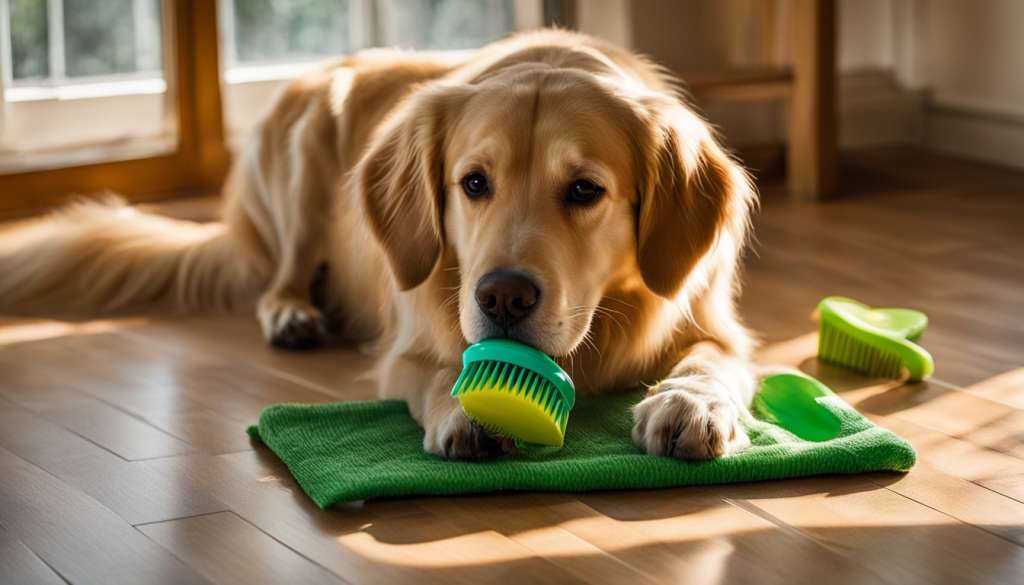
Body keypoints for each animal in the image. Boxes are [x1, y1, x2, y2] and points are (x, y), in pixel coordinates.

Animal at [0, 29, 757, 463]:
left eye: (584, 189)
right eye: (473, 182)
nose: (503, 297)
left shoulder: (717, 326)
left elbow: (713, 362)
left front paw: (688, 404)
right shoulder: (409, 345)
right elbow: (436, 371)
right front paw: (463, 408)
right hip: (304, 147)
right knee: (281, 278)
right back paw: (293, 314)